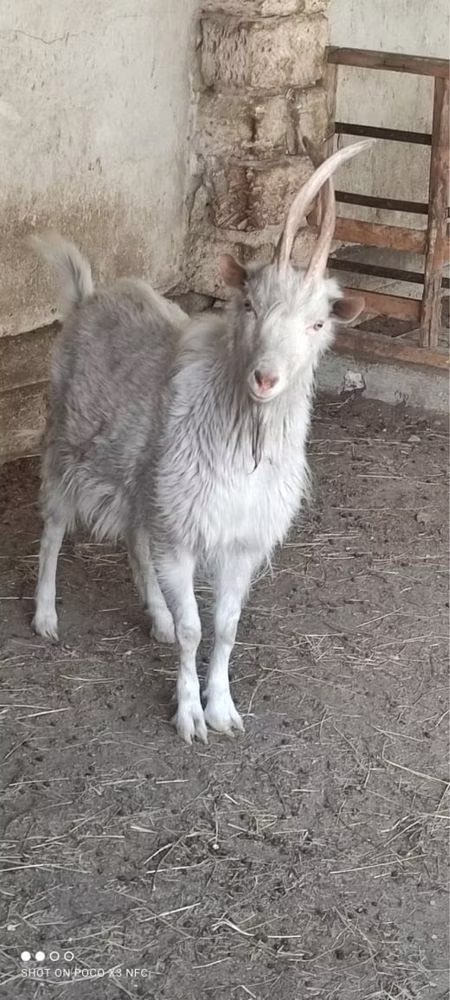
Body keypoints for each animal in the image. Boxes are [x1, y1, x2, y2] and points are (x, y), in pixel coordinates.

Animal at [30, 139, 373, 743]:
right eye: (250, 305)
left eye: (317, 324)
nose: (265, 379)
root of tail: (87, 298)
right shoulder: (180, 535)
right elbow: (196, 629)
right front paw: (190, 716)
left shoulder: (238, 540)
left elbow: (227, 627)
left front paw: (223, 710)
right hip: (66, 441)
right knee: (53, 525)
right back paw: (45, 617)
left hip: (145, 480)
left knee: (133, 537)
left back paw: (156, 617)